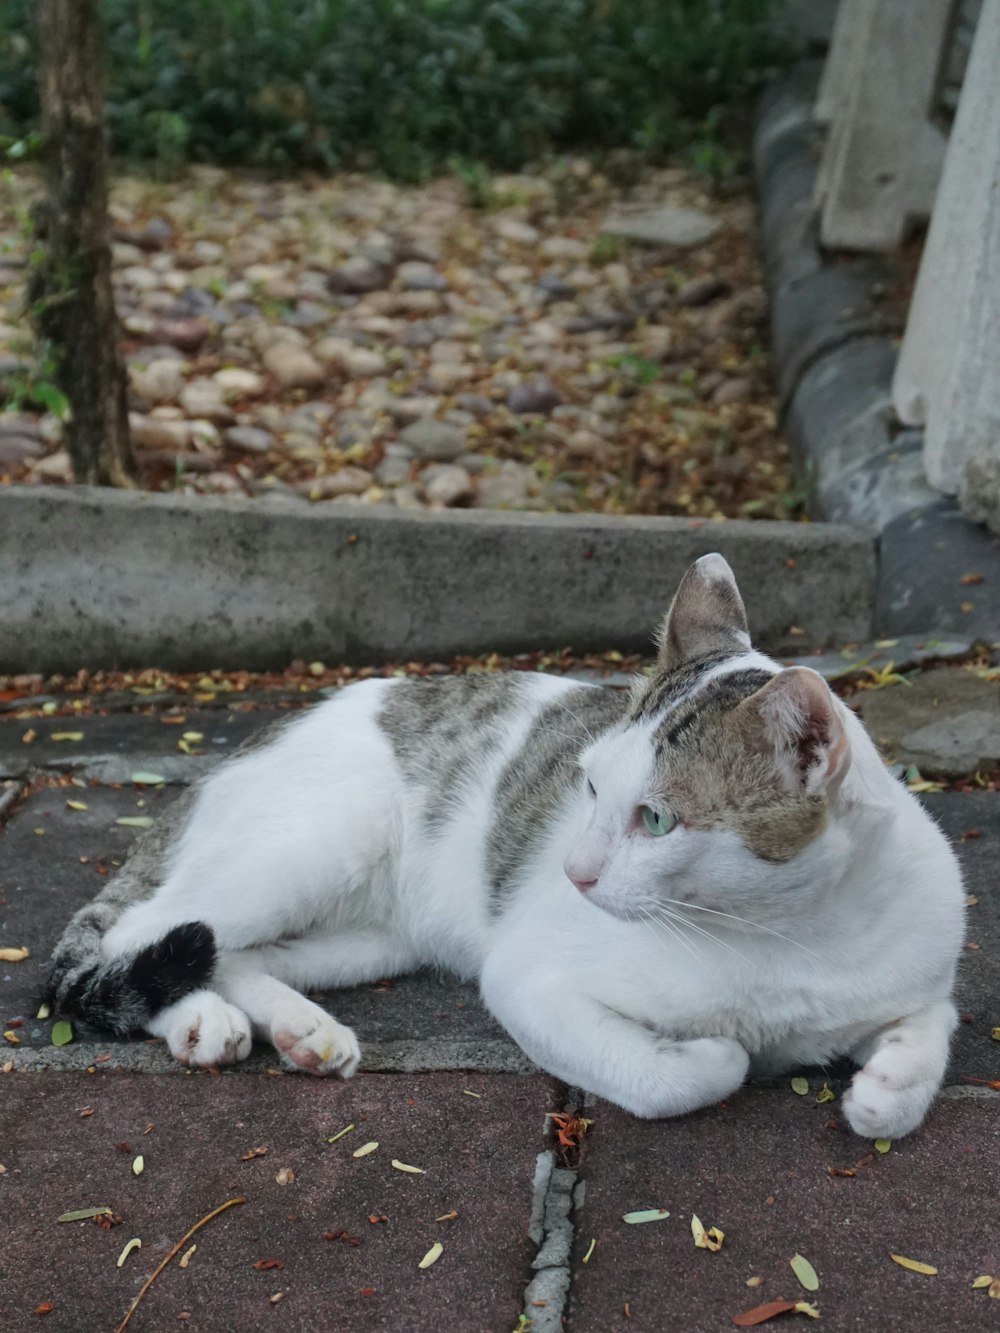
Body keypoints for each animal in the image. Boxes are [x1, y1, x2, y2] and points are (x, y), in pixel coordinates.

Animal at [49, 551, 970, 1135]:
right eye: (589, 785)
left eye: (657, 819)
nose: (574, 870)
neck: (788, 935)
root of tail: (234, 751)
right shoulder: (529, 977)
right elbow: (683, 1074)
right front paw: (720, 1050)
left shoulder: (919, 974)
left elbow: (931, 1029)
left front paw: (887, 1087)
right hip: (311, 848)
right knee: (146, 930)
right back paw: (198, 1020)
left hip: (372, 937)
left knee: (233, 950)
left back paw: (302, 1030)